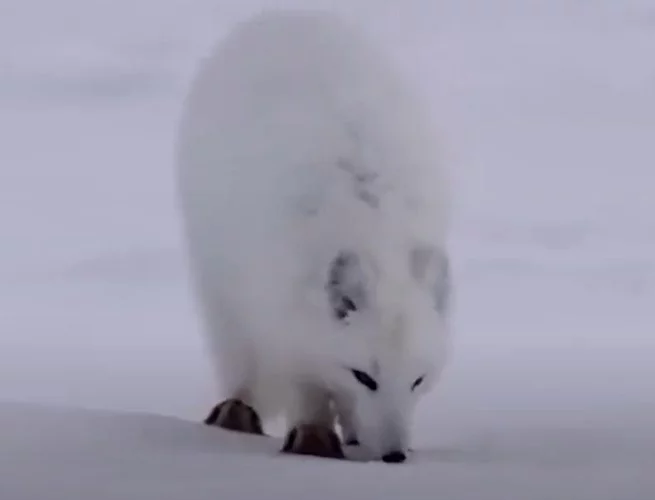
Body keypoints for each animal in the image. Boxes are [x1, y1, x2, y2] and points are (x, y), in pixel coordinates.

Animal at [176, 8, 452, 464]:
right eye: (364, 376)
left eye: (418, 379)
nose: (395, 455)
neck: (374, 229)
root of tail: (284, 14)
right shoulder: (282, 314)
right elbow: (306, 382)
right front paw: (314, 437)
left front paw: (356, 433)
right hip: (218, 282)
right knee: (237, 356)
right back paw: (236, 410)